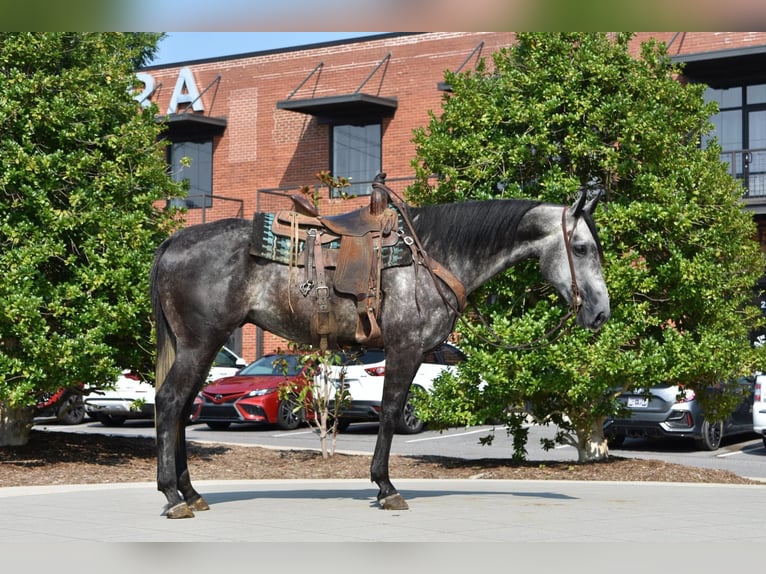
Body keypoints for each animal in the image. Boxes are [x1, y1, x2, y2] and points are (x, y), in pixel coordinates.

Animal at [150, 187, 610, 518]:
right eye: (582, 248)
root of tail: (175, 240)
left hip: (200, 346)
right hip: (200, 343)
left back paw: (191, 493)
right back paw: (173, 496)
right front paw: (386, 488)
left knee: (182, 408)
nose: (601, 312)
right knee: (170, 403)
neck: (432, 258)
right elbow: (389, 412)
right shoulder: (405, 348)